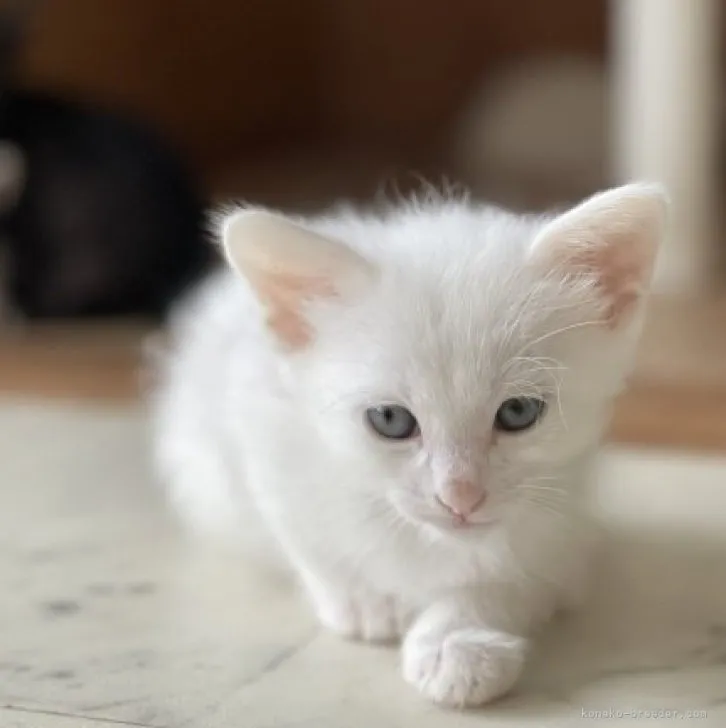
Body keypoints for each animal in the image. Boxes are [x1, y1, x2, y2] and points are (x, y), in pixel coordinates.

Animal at [154, 185, 672, 708]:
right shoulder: (257, 431)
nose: (460, 495)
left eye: (518, 412)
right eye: (390, 420)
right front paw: (364, 598)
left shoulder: (568, 513)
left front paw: (458, 639)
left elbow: (521, 571)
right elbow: (306, 535)